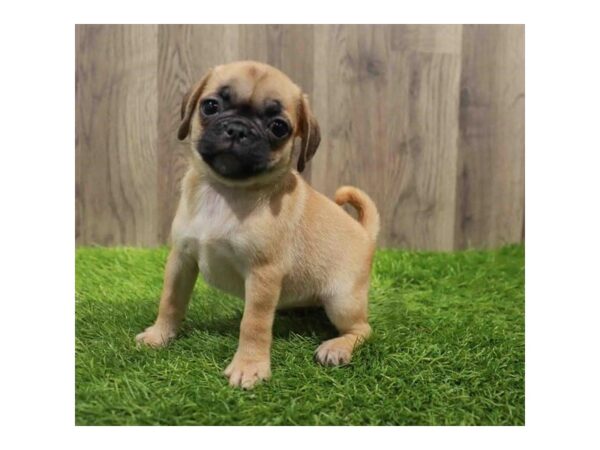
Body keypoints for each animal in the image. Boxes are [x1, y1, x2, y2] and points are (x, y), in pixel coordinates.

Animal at [136, 60, 380, 390]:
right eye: (210, 106)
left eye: (278, 127)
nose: (238, 129)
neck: (226, 191)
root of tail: (364, 232)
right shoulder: (181, 259)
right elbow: (171, 301)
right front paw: (160, 334)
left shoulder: (263, 275)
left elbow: (254, 323)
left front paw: (249, 366)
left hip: (342, 300)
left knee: (362, 329)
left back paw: (337, 347)